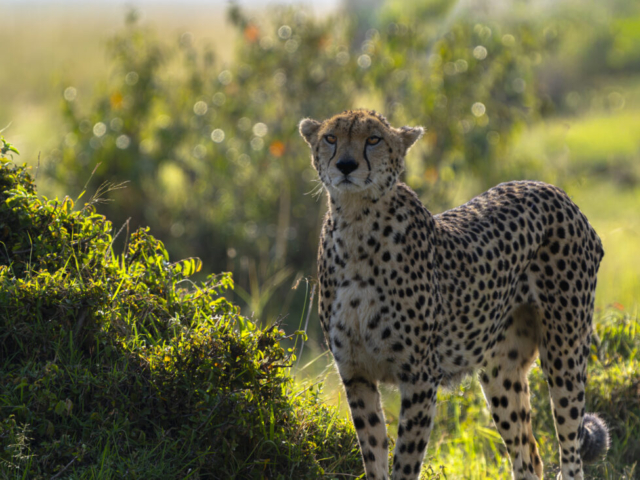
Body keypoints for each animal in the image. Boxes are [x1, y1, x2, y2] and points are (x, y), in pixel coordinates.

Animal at [299, 109, 609, 480]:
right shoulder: (355, 374)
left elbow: (405, 461)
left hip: (565, 354)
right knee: (528, 456)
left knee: (570, 453)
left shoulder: (419, 376)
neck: (356, 223)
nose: (346, 165)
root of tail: (551, 189)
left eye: (373, 139)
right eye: (330, 138)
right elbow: (373, 455)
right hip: (500, 370)